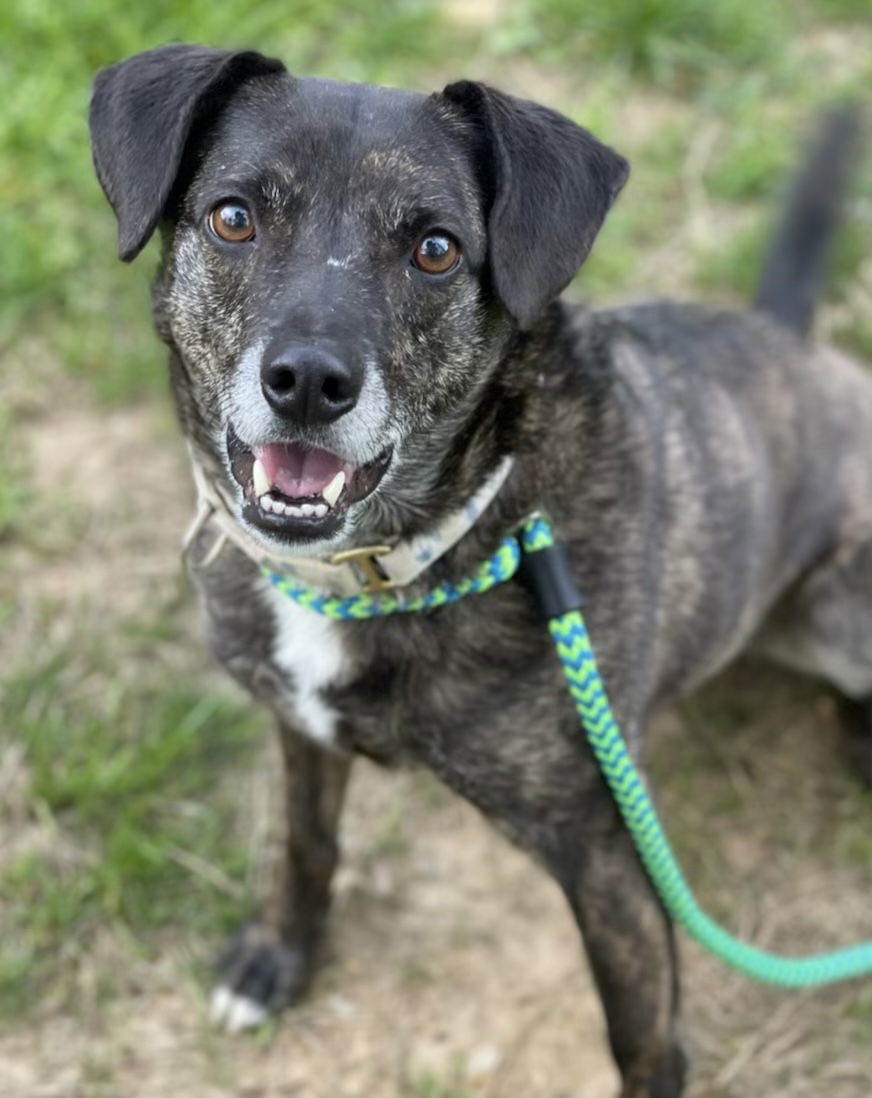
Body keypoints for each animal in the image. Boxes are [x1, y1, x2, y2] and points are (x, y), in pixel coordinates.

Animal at [90, 45, 869, 1098]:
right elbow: (306, 842)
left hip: (838, 606)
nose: (308, 384)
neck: (392, 563)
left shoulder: (607, 855)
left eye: (436, 249)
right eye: (234, 217)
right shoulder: (300, 725)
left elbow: (642, 1036)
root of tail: (798, 348)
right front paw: (277, 961)